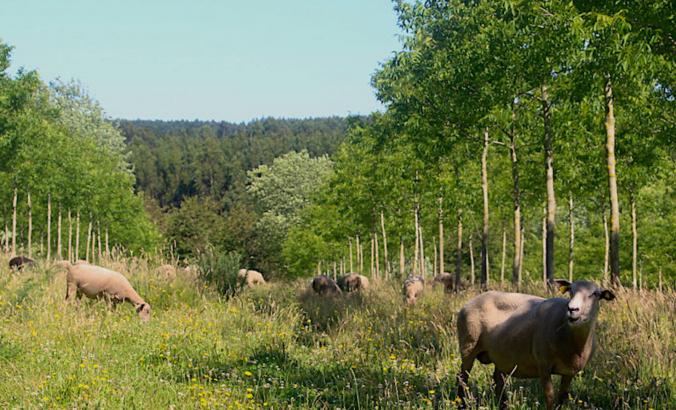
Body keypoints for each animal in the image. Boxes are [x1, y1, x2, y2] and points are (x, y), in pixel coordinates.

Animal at [456, 278, 616, 410]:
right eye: (571, 290)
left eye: (595, 294)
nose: (572, 309)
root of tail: (471, 301)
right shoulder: (543, 364)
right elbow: (550, 397)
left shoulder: (570, 371)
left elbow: (561, 398)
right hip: (468, 346)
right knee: (462, 378)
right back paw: (461, 404)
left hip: (501, 354)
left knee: (498, 381)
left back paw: (504, 406)